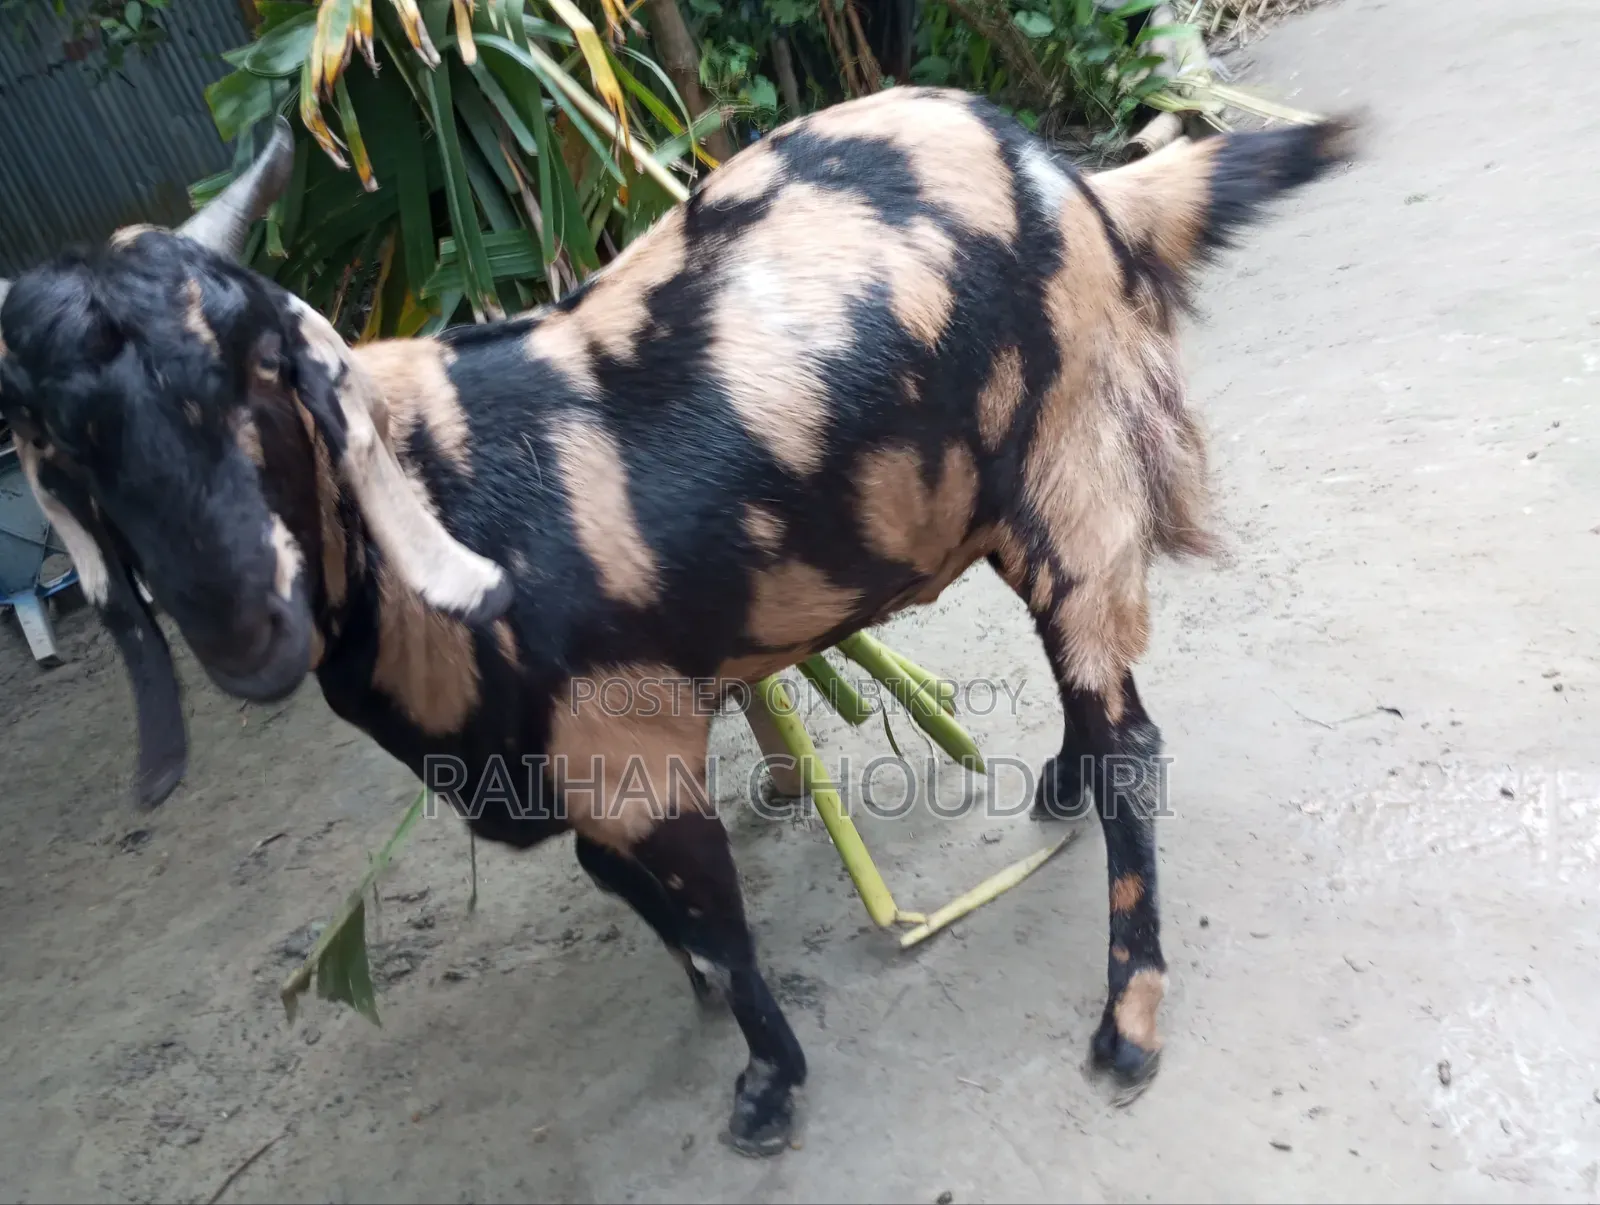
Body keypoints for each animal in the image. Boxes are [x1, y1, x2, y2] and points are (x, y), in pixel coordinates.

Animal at [0, 86, 1353, 1155]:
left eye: (262, 374)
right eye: (68, 446)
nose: (248, 632)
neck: (439, 489)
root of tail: (1061, 171)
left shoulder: (632, 746)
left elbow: (719, 910)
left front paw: (766, 1084)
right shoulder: (571, 766)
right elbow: (625, 884)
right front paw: (703, 993)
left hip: (1074, 465)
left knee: (1132, 741)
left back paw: (1128, 1018)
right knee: (1087, 690)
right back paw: (1058, 789)